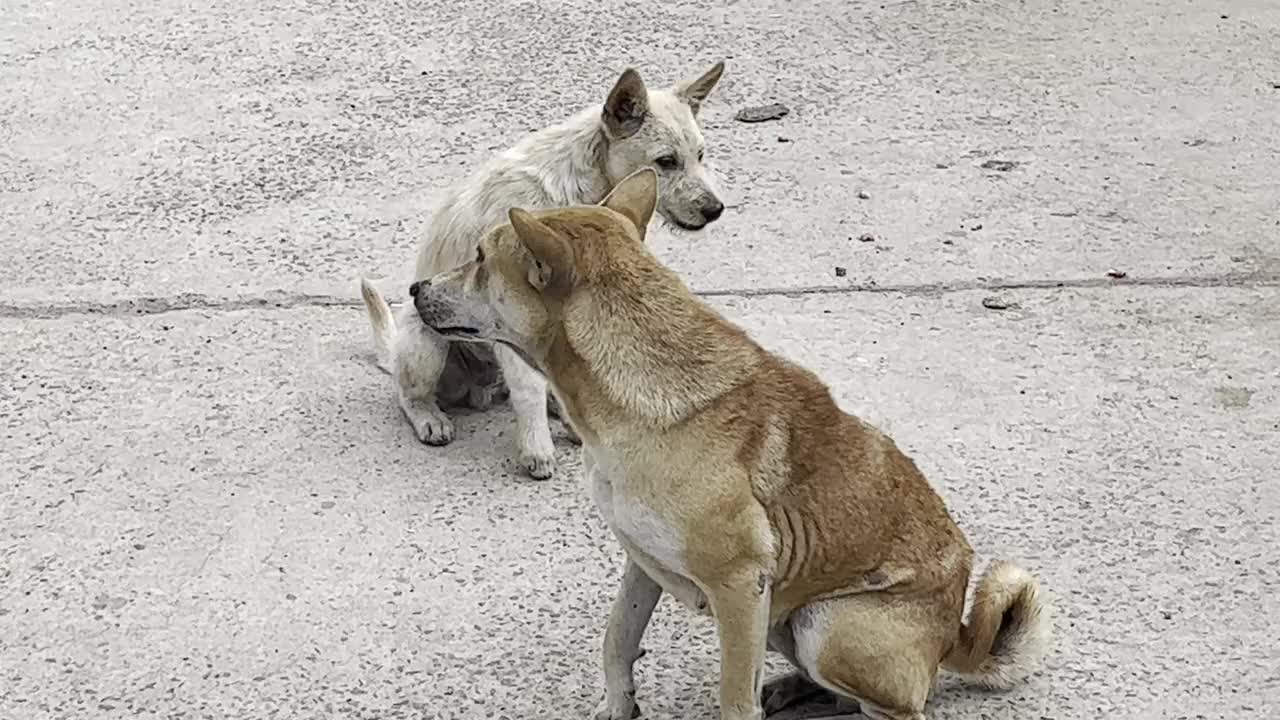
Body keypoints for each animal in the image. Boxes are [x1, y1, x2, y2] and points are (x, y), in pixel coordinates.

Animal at [360, 61, 732, 476]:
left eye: (701, 155)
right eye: (666, 161)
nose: (715, 210)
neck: (575, 188)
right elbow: (529, 391)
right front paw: (536, 448)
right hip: (426, 344)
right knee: (409, 394)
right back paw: (430, 416)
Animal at [409, 169, 1049, 717]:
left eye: (481, 259)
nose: (415, 288)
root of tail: (954, 637)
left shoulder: (740, 588)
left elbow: (734, 699)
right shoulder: (642, 562)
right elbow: (617, 639)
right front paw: (619, 705)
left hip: (824, 626)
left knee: (899, 708)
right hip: (789, 624)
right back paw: (789, 690)